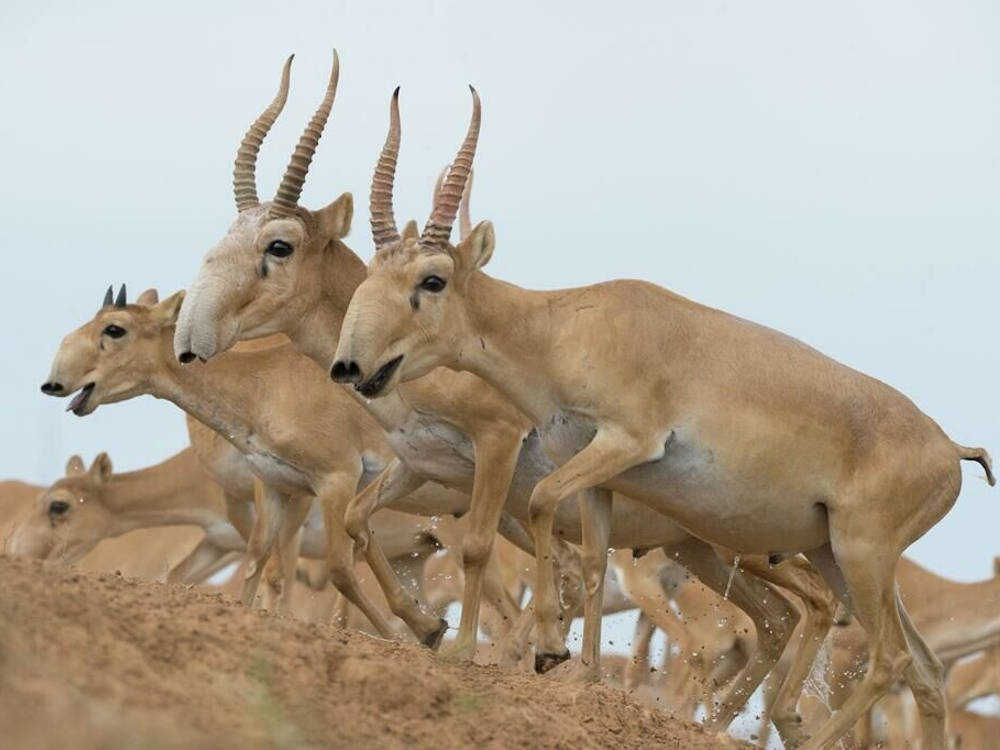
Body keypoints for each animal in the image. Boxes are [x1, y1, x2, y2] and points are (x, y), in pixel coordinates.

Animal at [174, 53, 844, 748]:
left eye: (278, 244)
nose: (191, 337)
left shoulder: (494, 451)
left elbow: (475, 549)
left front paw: (473, 650)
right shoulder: (419, 466)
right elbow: (360, 527)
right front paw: (431, 629)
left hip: (742, 543)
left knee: (814, 602)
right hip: (700, 548)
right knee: (775, 618)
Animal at [332, 88, 996, 750]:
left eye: (433, 279)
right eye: (374, 272)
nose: (351, 366)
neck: (565, 325)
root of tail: (951, 450)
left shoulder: (625, 443)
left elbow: (542, 502)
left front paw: (544, 650)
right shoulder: (599, 474)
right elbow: (592, 558)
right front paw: (579, 674)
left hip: (862, 555)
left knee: (890, 659)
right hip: (839, 556)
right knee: (927, 670)